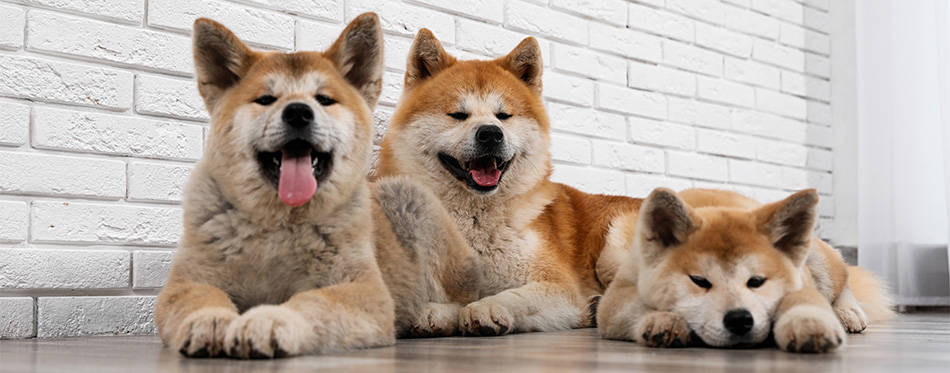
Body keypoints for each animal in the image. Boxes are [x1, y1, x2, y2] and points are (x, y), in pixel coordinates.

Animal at [160, 13, 484, 358]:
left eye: (324, 100)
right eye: (265, 100)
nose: (298, 112)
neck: (278, 221)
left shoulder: (363, 290)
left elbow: (311, 302)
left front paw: (270, 320)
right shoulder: (187, 282)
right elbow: (198, 298)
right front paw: (208, 320)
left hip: (405, 196)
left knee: (463, 301)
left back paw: (432, 315)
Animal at [376, 29, 644, 334]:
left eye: (504, 116)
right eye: (458, 115)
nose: (491, 134)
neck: (475, 221)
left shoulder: (558, 285)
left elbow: (514, 296)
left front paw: (487, 307)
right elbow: (453, 300)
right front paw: (436, 313)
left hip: (612, 253)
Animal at [600, 187, 896, 354]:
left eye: (757, 281)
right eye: (699, 280)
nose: (739, 320)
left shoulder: (801, 283)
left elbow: (804, 302)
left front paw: (808, 324)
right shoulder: (615, 298)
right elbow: (637, 308)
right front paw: (665, 319)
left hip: (822, 262)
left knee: (844, 273)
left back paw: (848, 311)